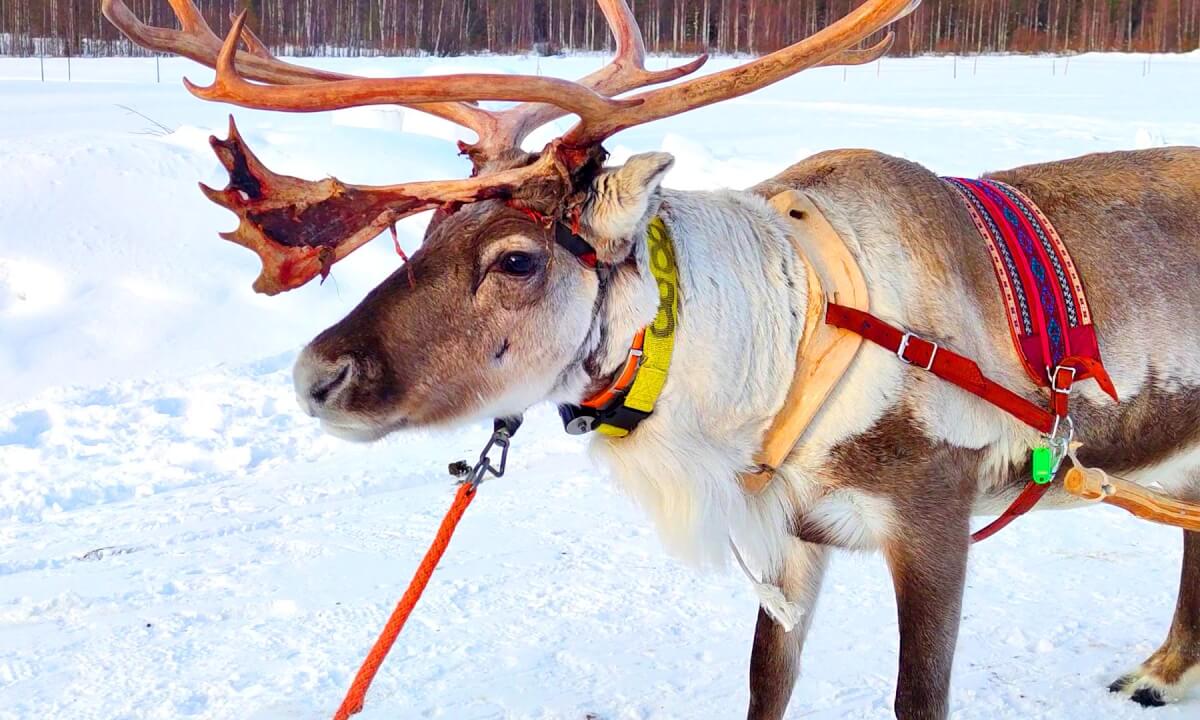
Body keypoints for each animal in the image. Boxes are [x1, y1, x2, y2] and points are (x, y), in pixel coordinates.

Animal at [102, 1, 1200, 718]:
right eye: (428, 235)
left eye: (517, 257)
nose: (315, 375)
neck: (785, 336)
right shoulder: (788, 535)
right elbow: (765, 684)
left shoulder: (931, 519)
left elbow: (916, 698)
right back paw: (1160, 669)